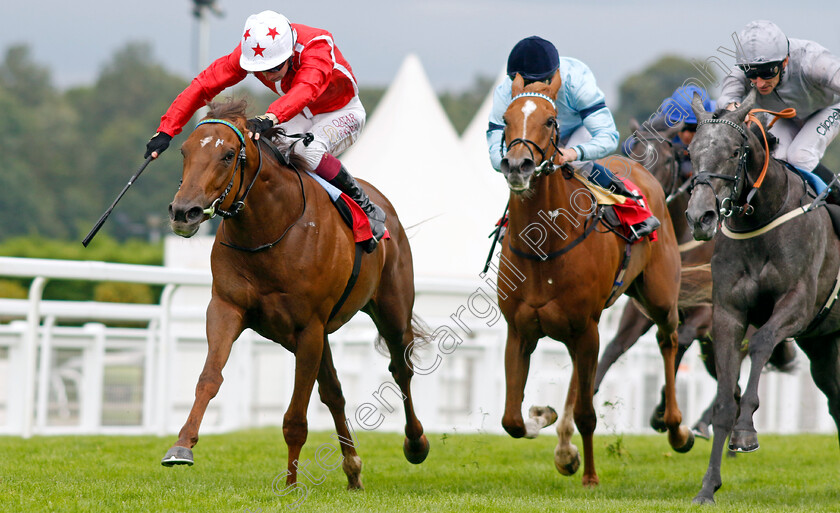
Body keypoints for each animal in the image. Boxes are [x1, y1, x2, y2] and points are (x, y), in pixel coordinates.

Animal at [161, 99, 430, 488]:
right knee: (334, 392)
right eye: (185, 151)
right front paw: (182, 446)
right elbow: (209, 378)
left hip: (391, 310)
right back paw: (353, 469)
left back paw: (415, 443)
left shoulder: (309, 327)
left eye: (228, 155)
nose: (184, 212)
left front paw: (289, 485)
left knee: (401, 369)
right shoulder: (227, 308)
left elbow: (295, 418)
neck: (269, 229)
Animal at [496, 71, 692, 484]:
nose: (518, 166)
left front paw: (589, 475)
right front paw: (545, 420)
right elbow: (512, 421)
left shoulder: (587, 327)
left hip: (658, 297)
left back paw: (677, 427)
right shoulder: (519, 331)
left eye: (550, 120)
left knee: (669, 340)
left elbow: (588, 413)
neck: (545, 248)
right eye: (505, 119)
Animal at [592, 119, 796, 436]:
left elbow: (681, 338)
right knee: (729, 380)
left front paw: (662, 412)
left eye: (665, 160)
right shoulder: (646, 304)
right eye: (631, 151)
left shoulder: (706, 307)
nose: (636, 189)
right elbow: (616, 346)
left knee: (733, 371)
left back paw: (703, 422)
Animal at [684, 90, 840, 502]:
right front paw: (708, 486)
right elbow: (724, 398)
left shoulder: (797, 304)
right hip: (824, 344)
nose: (700, 217)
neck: (761, 216)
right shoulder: (727, 313)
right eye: (691, 150)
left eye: (735, 150)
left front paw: (746, 432)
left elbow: (761, 343)